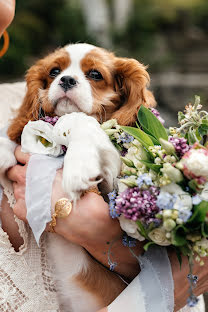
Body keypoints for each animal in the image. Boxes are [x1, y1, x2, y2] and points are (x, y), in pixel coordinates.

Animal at [0, 42, 156, 310]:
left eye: (95, 74)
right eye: (54, 71)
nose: (66, 79)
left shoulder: (112, 180)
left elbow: (79, 120)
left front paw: (79, 166)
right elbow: (24, 133)